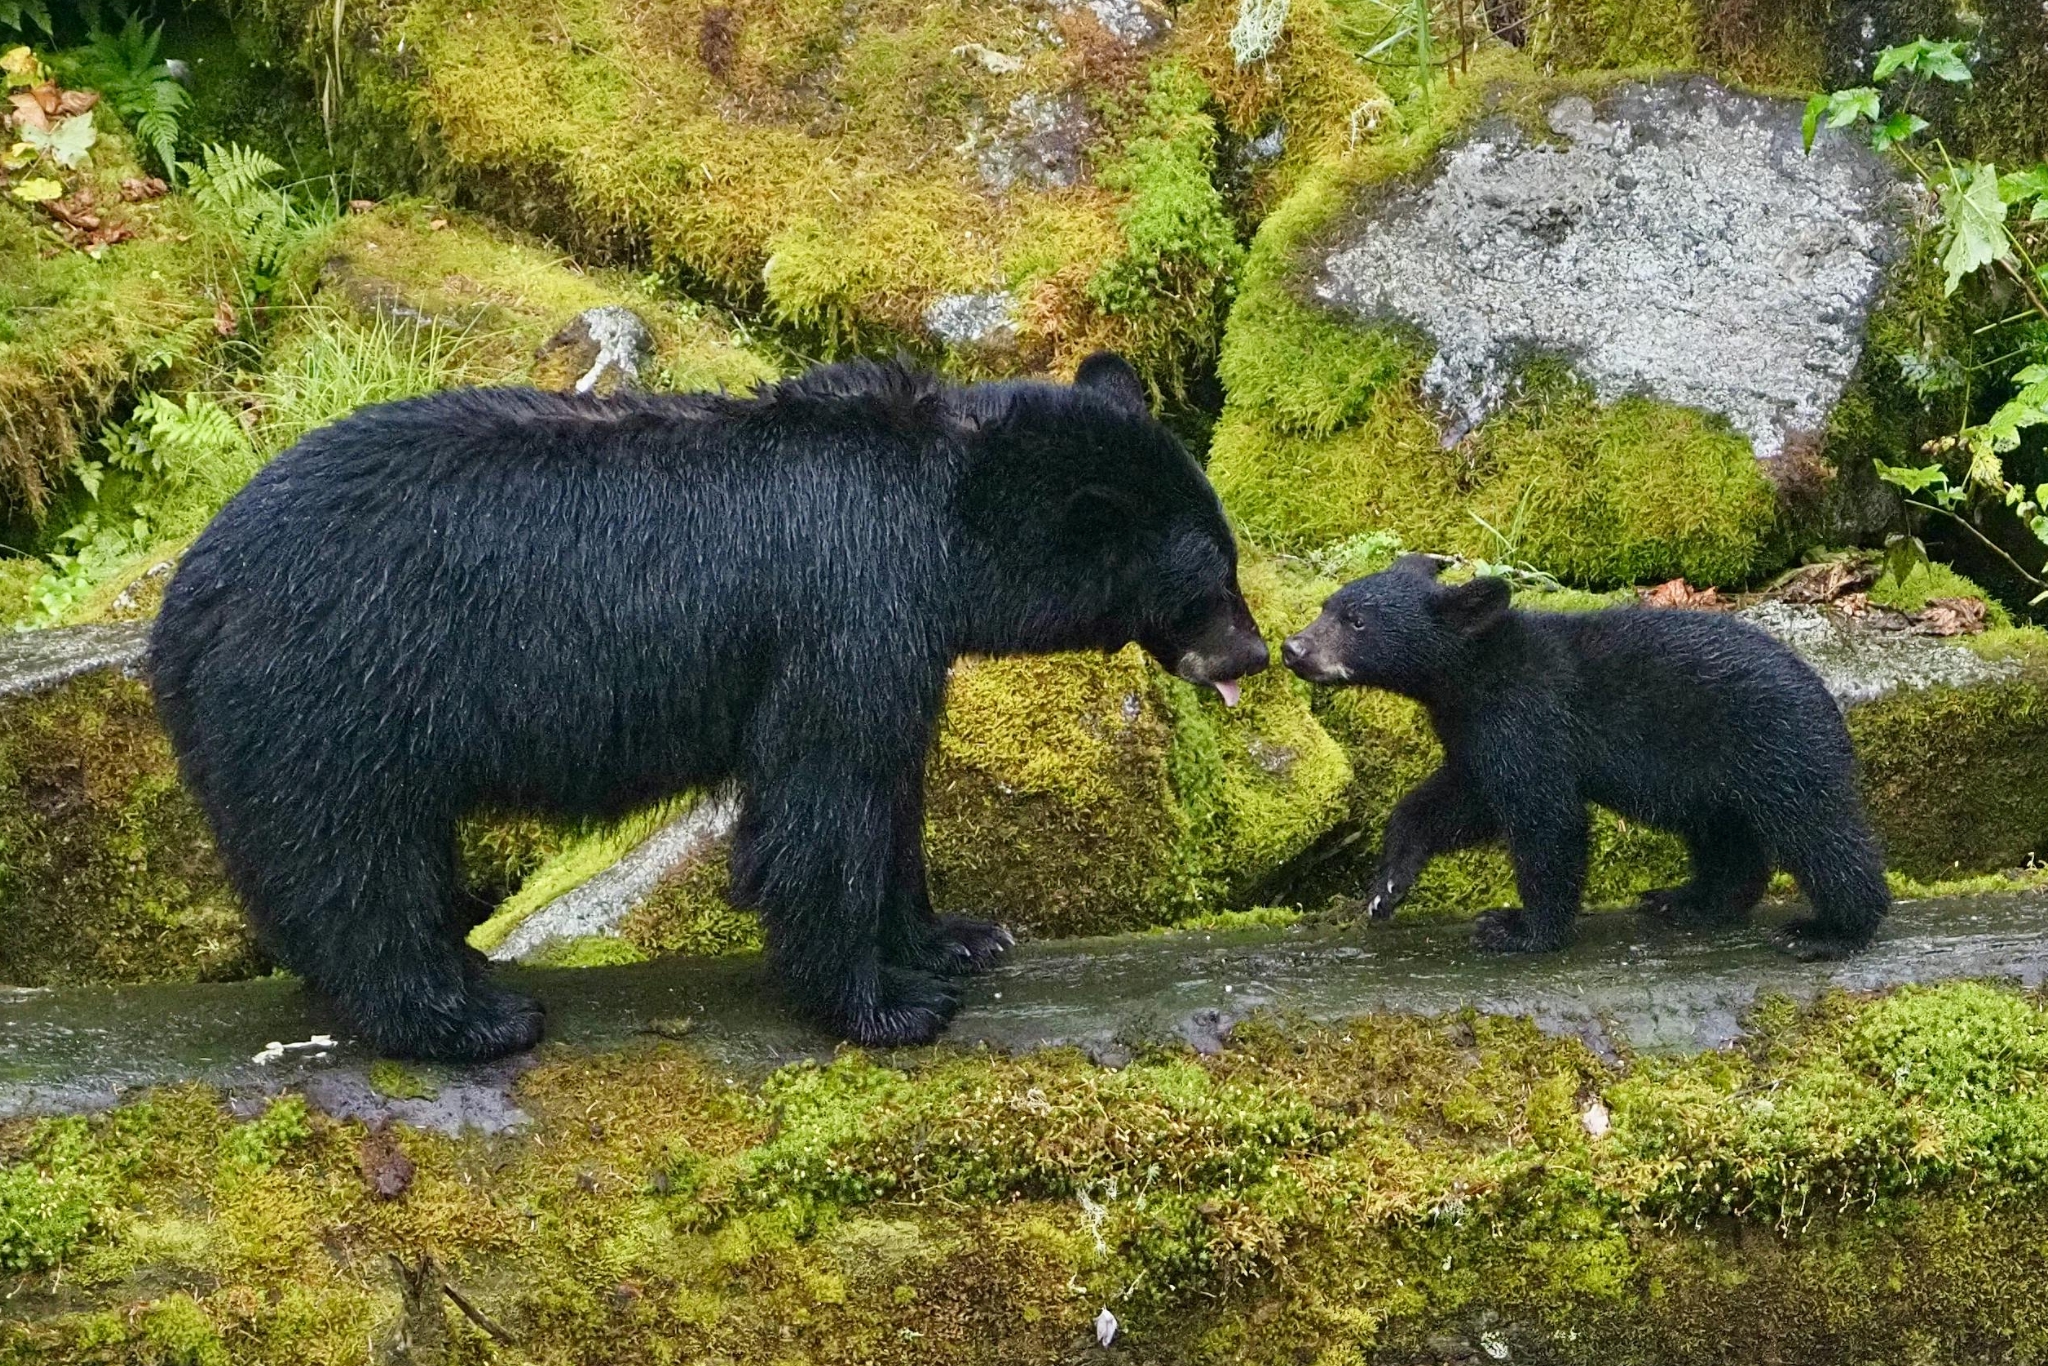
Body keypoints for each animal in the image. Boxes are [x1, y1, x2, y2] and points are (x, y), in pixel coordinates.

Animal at [148, 352, 1269, 1061]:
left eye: (1228, 559)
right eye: (1208, 581)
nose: (1257, 654)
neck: (945, 514)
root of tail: (184, 608)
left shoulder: (902, 631)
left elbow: (892, 788)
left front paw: (953, 935)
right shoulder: (845, 606)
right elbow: (827, 797)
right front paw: (887, 1004)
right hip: (341, 688)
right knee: (355, 862)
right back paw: (468, 1016)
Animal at [1280, 555, 1889, 958]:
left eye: (1357, 620)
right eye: (1327, 606)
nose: (1293, 648)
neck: (1473, 675)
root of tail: (1828, 701)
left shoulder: (1529, 715)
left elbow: (1546, 817)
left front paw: (1519, 928)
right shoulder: (1476, 732)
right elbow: (1458, 801)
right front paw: (1386, 889)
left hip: (1777, 750)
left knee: (1819, 832)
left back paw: (1833, 930)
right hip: (1715, 778)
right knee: (1727, 840)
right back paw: (1689, 900)